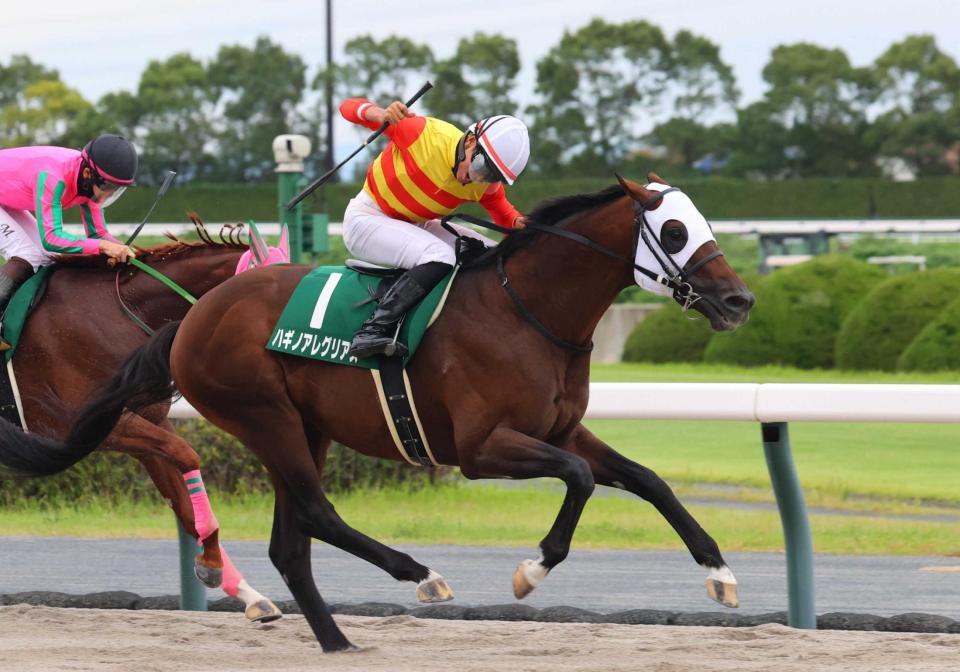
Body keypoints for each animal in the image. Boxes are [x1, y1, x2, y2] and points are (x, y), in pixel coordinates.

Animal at [11, 175, 752, 652]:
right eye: (675, 231)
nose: (740, 301)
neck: (526, 310)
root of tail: (192, 318)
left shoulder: (561, 427)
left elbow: (647, 479)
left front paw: (719, 574)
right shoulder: (481, 448)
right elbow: (579, 478)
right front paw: (531, 570)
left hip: (301, 426)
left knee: (291, 541)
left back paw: (336, 639)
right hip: (266, 416)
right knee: (315, 513)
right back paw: (420, 577)